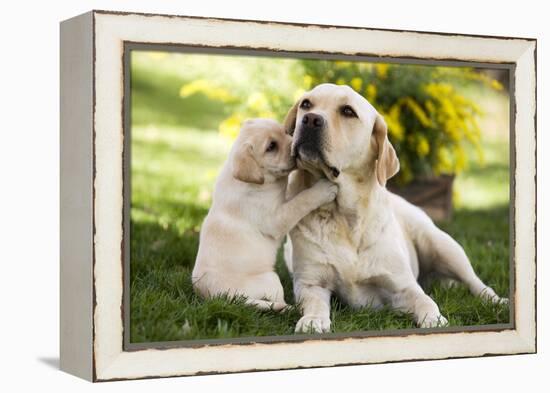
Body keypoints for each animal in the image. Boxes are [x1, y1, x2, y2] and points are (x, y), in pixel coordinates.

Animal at [192, 118, 338, 310]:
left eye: (285, 131)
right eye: (271, 146)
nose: (296, 146)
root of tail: (217, 297)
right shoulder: (276, 219)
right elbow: (300, 201)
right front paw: (323, 189)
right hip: (271, 279)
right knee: (278, 301)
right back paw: (289, 308)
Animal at [284, 83, 508, 330]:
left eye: (348, 111)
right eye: (306, 104)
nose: (310, 119)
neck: (343, 215)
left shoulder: (403, 286)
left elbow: (426, 301)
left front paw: (434, 319)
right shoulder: (311, 283)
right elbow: (314, 303)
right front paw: (313, 320)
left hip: (442, 245)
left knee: (475, 282)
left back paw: (497, 300)